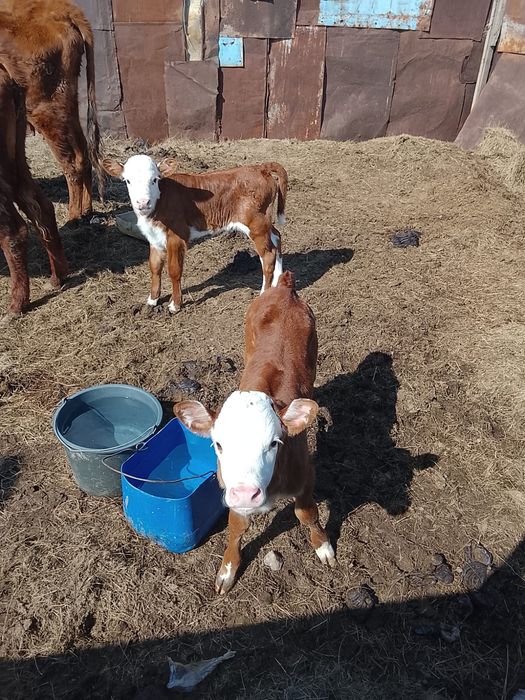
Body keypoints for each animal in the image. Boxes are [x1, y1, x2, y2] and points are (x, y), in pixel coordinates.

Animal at [0, 0, 102, 221]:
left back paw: (73, 216)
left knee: (71, 160)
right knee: (83, 152)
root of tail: (62, 8)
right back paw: (86, 209)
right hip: (66, 105)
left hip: (43, 109)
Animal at [102, 155, 287, 313]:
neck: (159, 202)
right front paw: (152, 300)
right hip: (264, 223)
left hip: (256, 224)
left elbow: (174, 270)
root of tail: (260, 167)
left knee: (268, 255)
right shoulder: (154, 238)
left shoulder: (176, 236)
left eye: (154, 179)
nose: (142, 203)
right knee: (277, 238)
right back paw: (277, 282)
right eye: (128, 181)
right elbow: (154, 267)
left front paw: (175, 305)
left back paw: (263, 294)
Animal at [174, 271, 335, 594]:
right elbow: (236, 527)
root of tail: (283, 289)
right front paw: (227, 570)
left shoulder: (305, 476)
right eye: (218, 444)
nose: (247, 494)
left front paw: (323, 547)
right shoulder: (231, 488)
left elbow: (307, 514)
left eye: (274, 443)